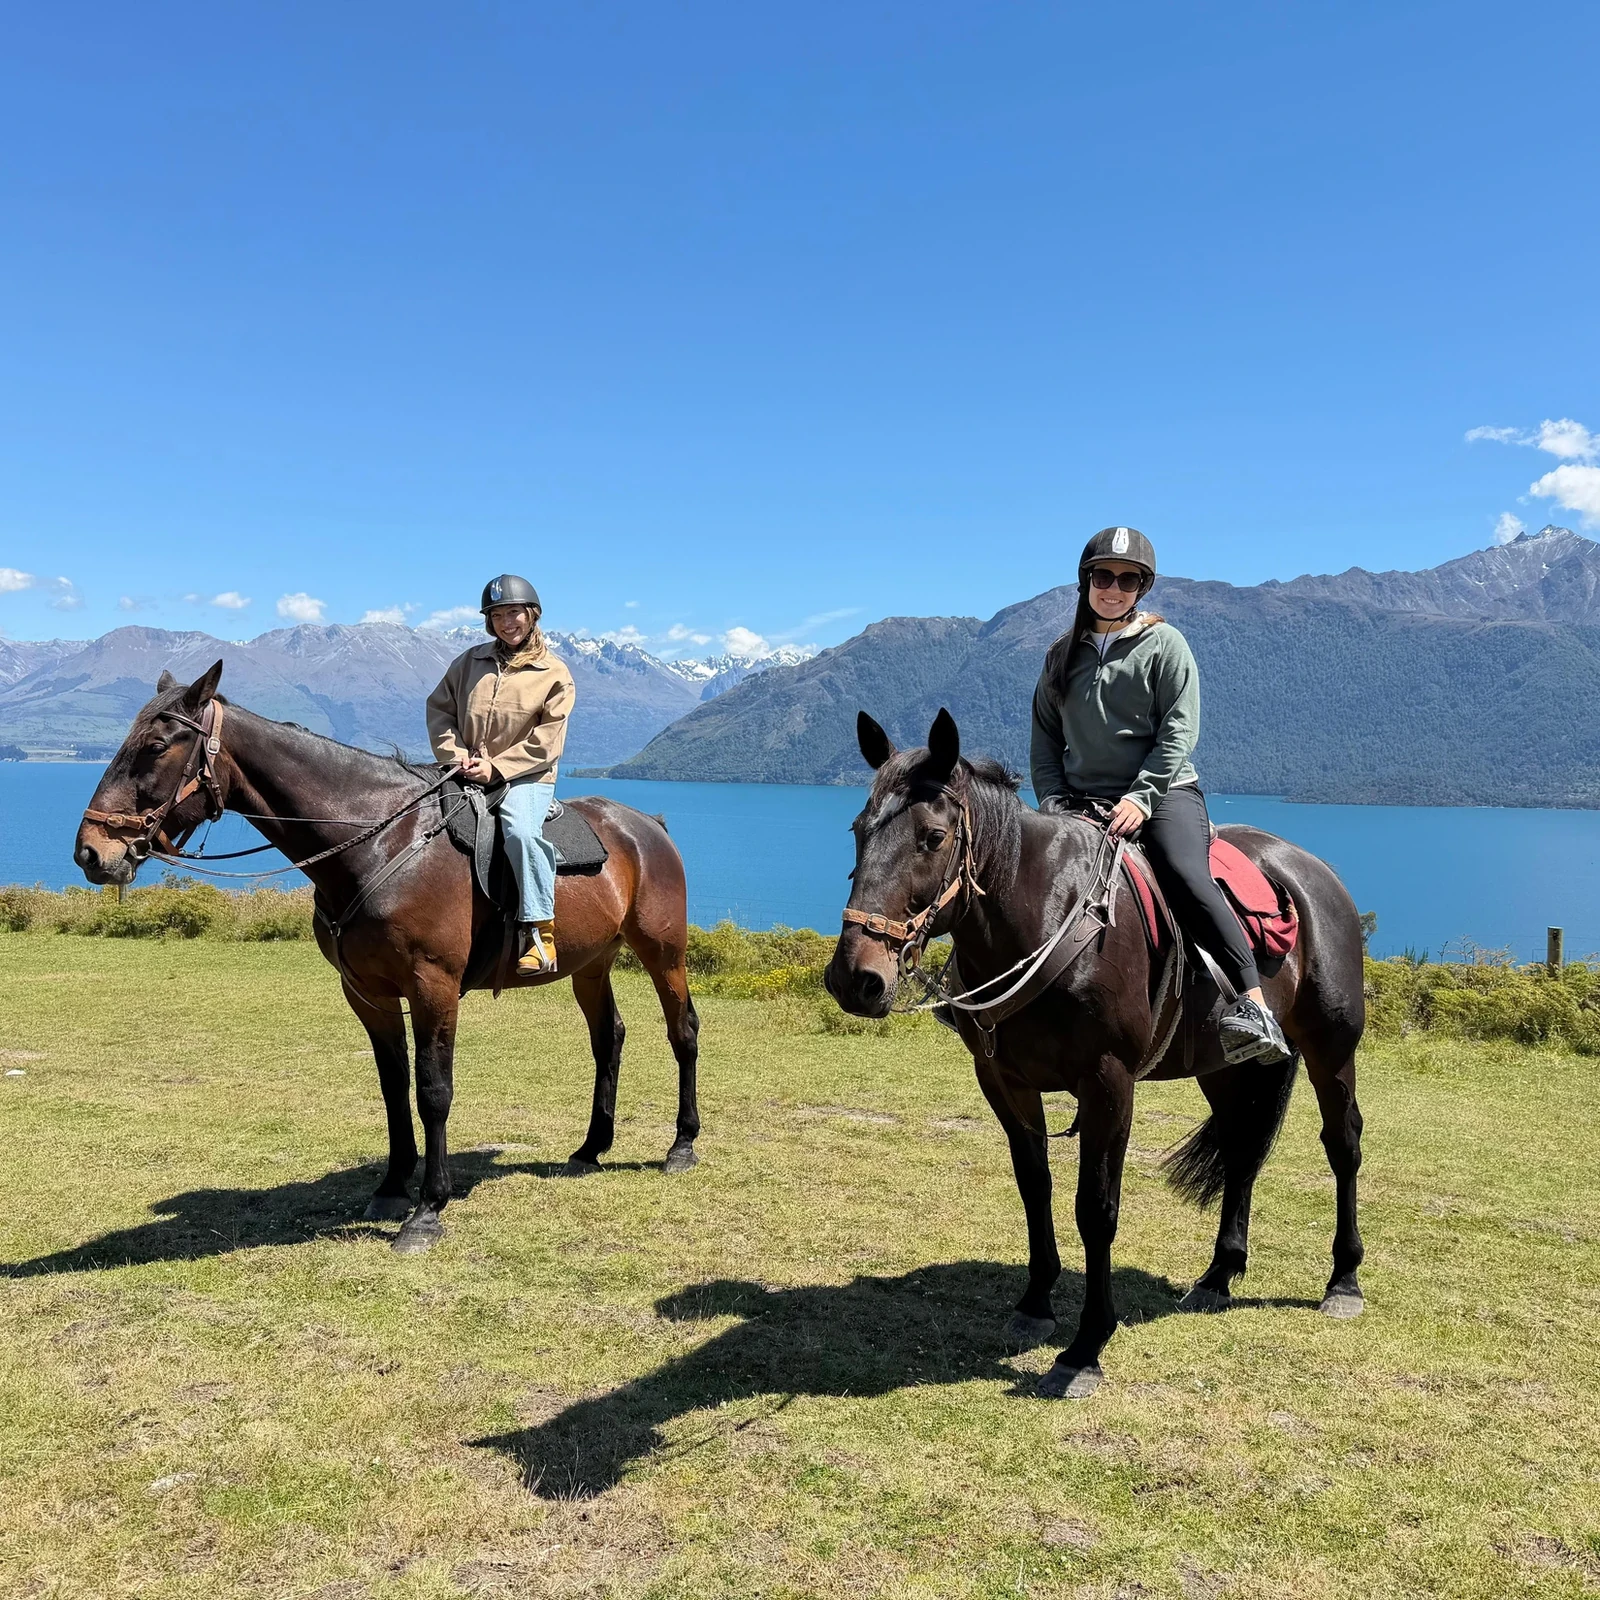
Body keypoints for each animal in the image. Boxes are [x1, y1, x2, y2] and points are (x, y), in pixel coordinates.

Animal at [74, 661, 702, 1255]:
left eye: (157, 746)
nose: (90, 852)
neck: (379, 844)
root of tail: (646, 826)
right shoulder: (368, 994)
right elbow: (393, 1088)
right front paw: (394, 1187)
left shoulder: (433, 987)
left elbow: (433, 1091)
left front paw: (428, 1209)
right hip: (590, 965)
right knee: (608, 1037)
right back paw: (592, 1147)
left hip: (663, 953)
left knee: (683, 1032)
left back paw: (682, 1144)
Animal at [824, 709, 1366, 1399]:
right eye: (858, 830)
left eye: (933, 837)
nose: (855, 978)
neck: (1046, 913)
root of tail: (1315, 872)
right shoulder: (1002, 1080)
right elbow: (1034, 1187)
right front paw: (1035, 1305)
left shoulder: (1109, 1084)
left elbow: (1096, 1208)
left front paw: (1085, 1348)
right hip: (1223, 1065)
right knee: (1242, 1148)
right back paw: (1218, 1276)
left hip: (1331, 1047)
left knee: (1342, 1143)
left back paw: (1343, 1281)